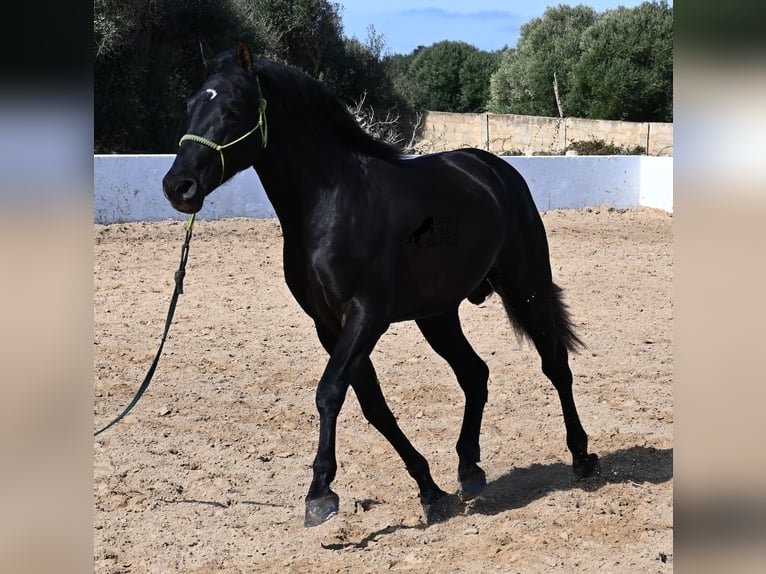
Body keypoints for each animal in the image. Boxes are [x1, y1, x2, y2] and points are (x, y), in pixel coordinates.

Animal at [164, 39, 600, 528]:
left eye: (233, 108)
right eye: (191, 105)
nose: (178, 186)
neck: (332, 203)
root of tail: (495, 171)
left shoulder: (366, 315)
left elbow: (330, 392)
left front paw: (319, 493)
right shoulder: (330, 325)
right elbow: (372, 405)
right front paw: (429, 489)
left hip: (526, 285)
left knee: (555, 364)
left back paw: (582, 458)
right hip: (438, 314)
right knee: (474, 374)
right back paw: (469, 468)